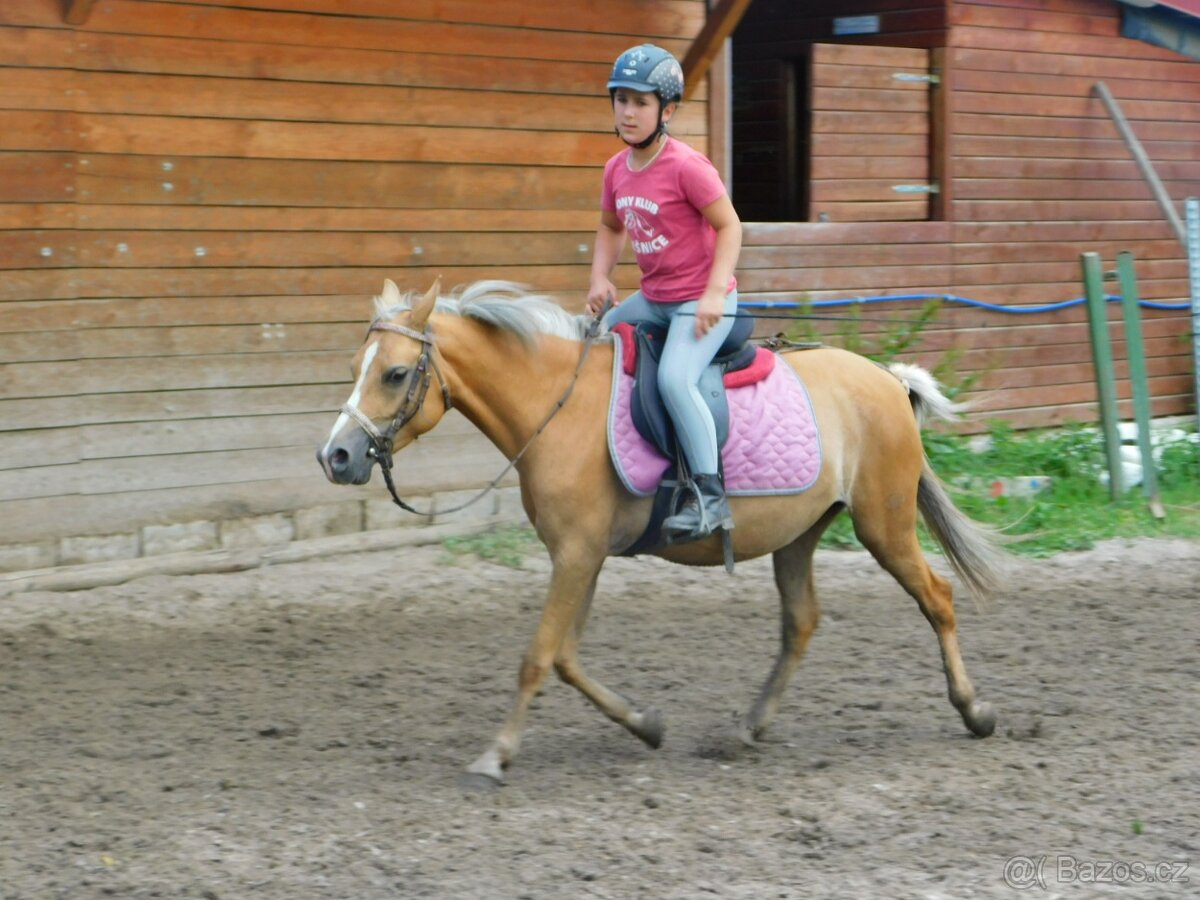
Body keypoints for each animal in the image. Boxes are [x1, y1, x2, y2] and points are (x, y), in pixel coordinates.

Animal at [317, 278, 1005, 785]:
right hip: (800, 532)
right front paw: (645, 724)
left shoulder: (575, 555)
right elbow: (565, 657)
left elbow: (537, 656)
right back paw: (750, 726)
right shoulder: (583, 556)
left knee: (938, 599)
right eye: (353, 366)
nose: (336, 457)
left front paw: (497, 754)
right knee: (801, 622)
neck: (556, 406)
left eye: (395, 374)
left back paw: (975, 710)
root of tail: (887, 379)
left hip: (883, 524)